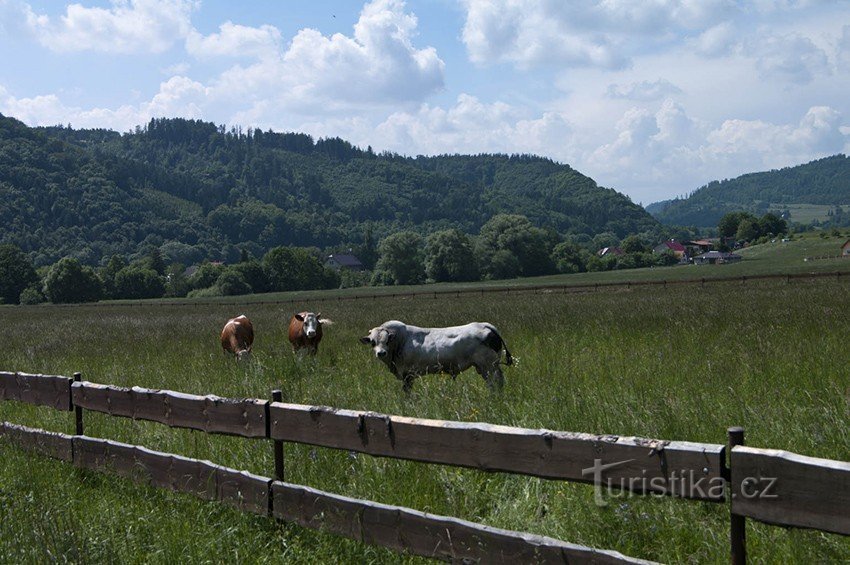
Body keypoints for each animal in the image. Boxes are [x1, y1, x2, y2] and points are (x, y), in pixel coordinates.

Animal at [358, 320, 510, 390]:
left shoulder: (408, 374)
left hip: (488, 367)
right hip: (487, 367)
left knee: (495, 383)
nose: (381, 353)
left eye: (387, 341)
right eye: (372, 342)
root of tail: (484, 325)